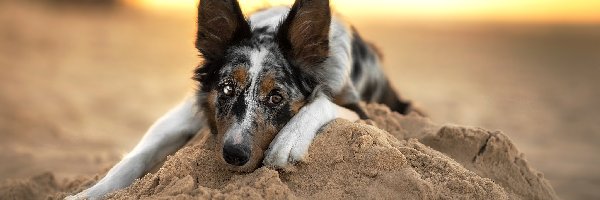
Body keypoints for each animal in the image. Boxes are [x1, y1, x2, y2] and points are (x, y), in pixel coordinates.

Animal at [65, 0, 412, 199]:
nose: (234, 155)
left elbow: (321, 103)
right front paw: (87, 194)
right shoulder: (187, 110)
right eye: (228, 88)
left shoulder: (363, 109)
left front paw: (288, 141)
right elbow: (136, 158)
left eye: (276, 97)